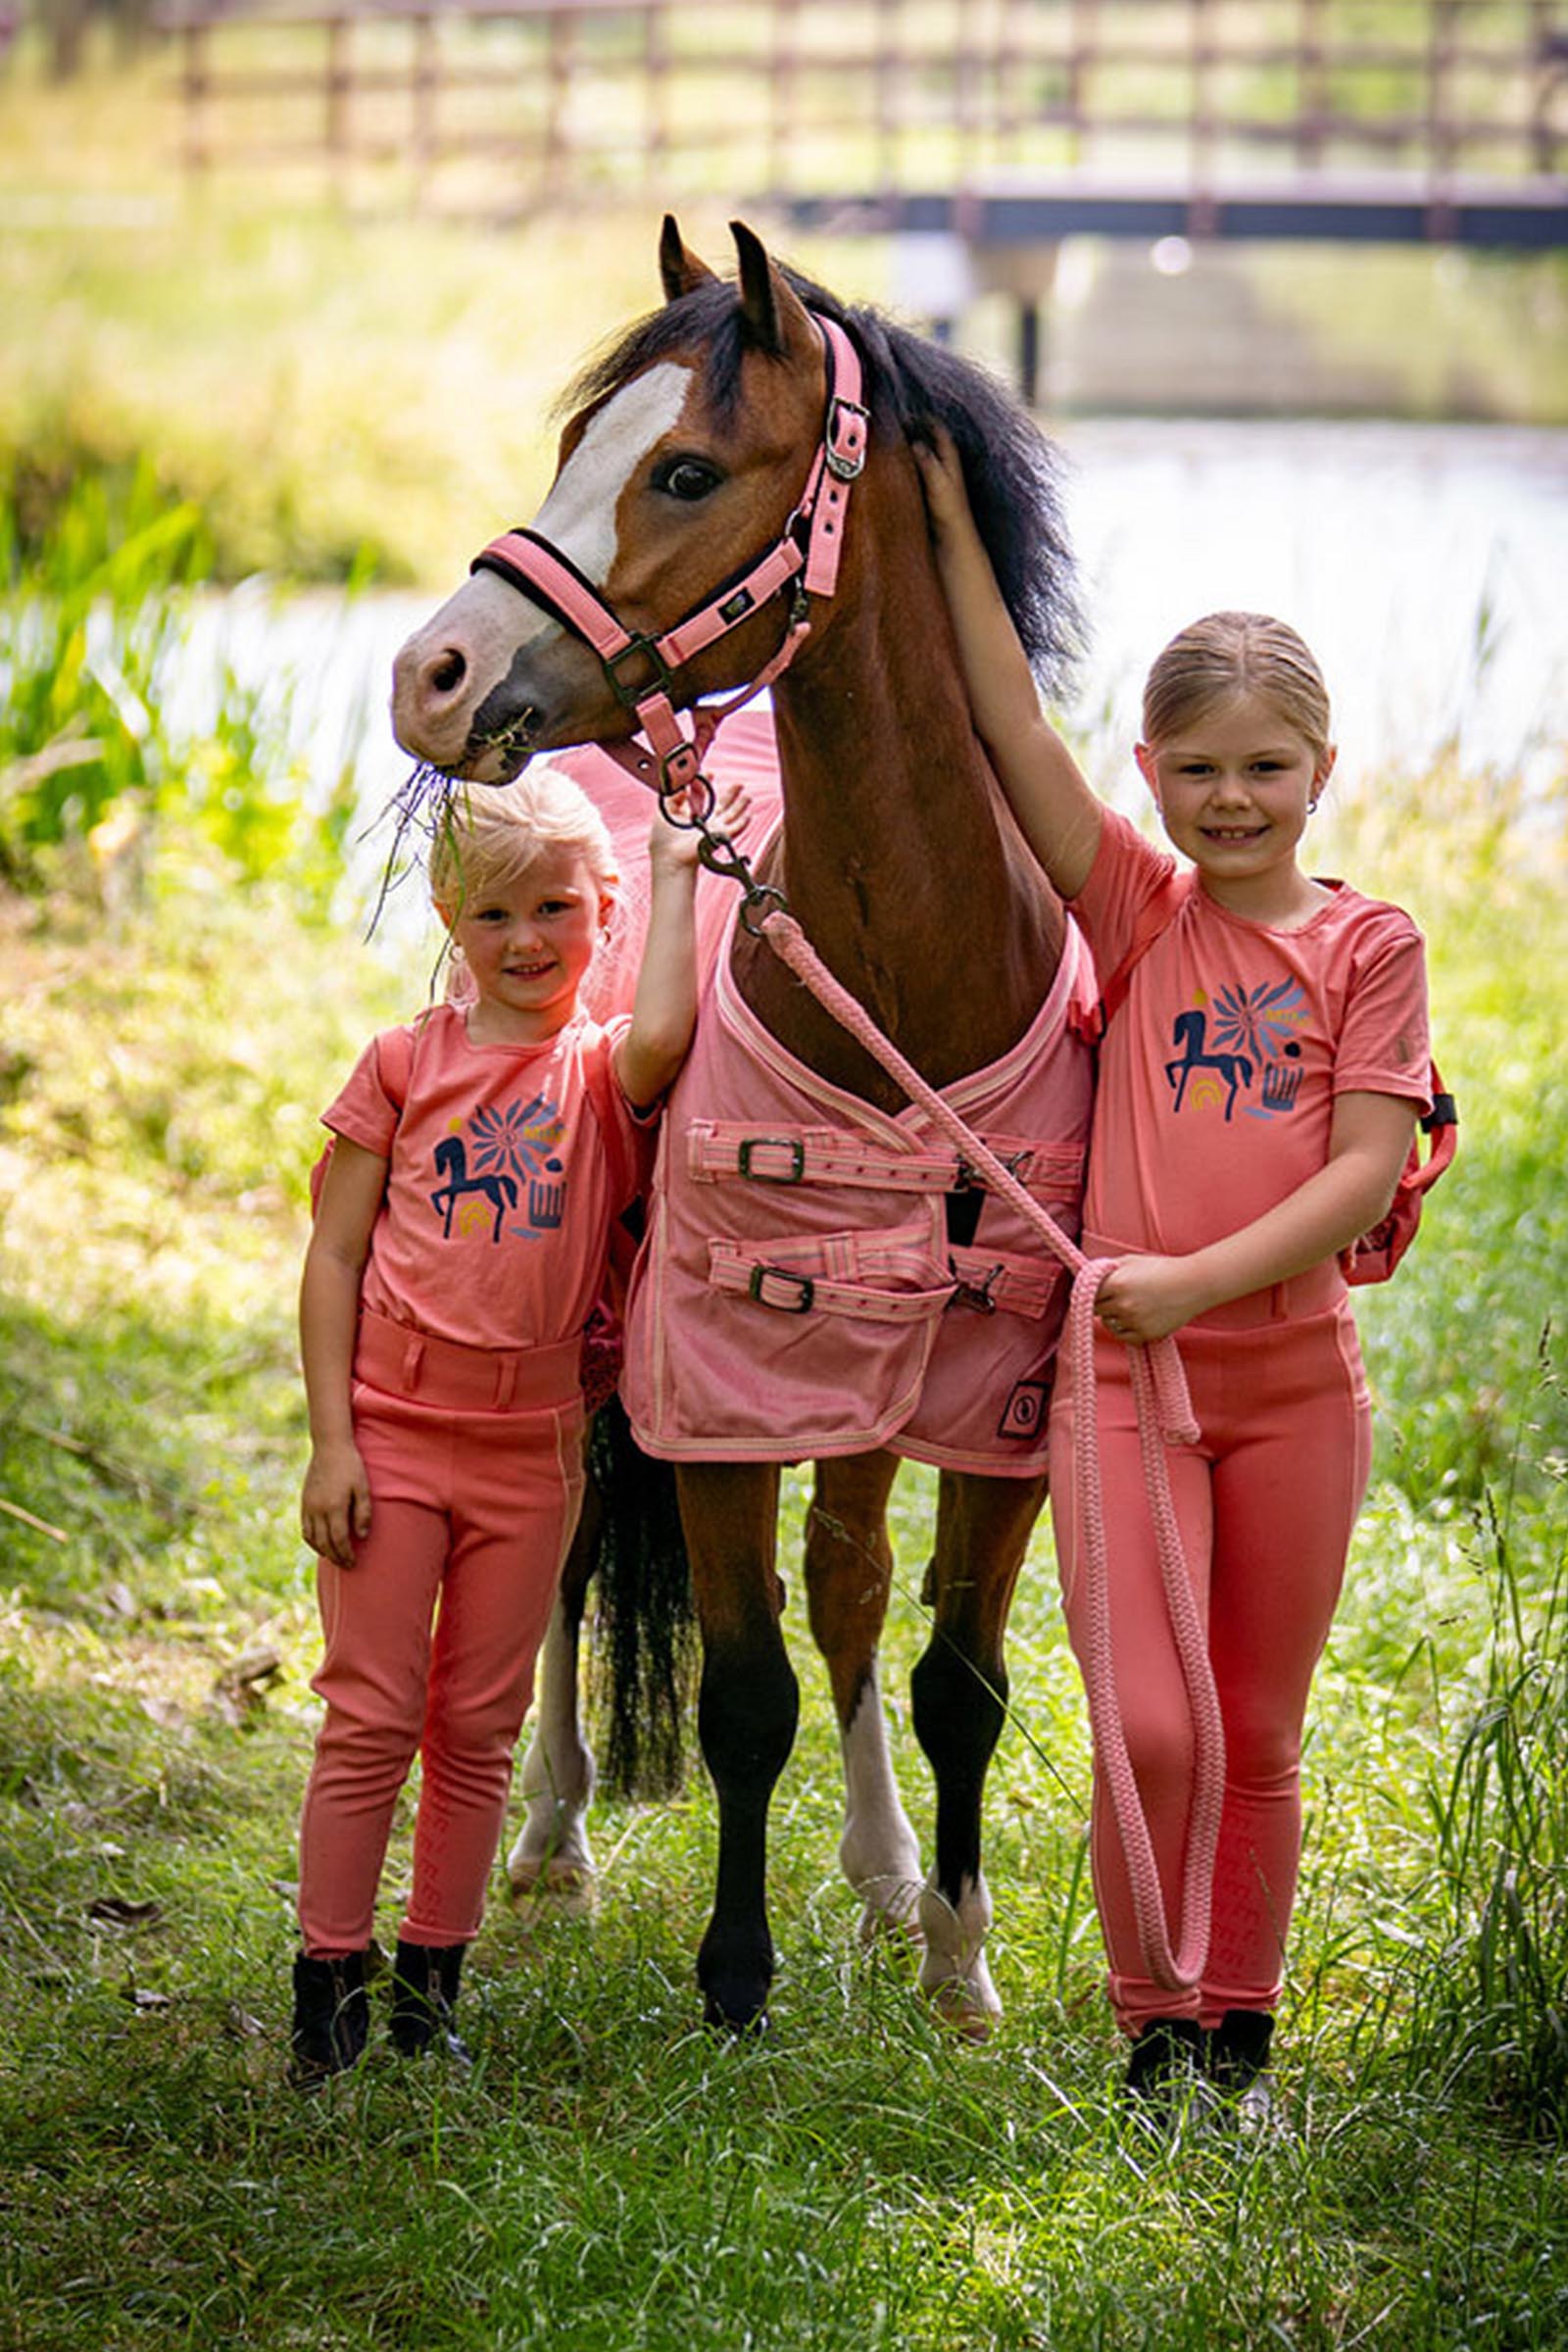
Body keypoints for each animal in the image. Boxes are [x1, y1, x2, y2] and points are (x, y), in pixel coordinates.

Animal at [389, 217, 1091, 2037]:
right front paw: (734, 1978)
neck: (912, 986)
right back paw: (553, 1833)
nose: (434, 671)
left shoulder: (995, 1417)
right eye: (578, 440)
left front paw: (958, 1960)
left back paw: (886, 1870)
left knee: (845, 1583)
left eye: (688, 468)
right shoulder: (711, 1395)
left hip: (861, 1377)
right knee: (570, 1553)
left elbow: (952, 1672)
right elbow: (740, 1685)